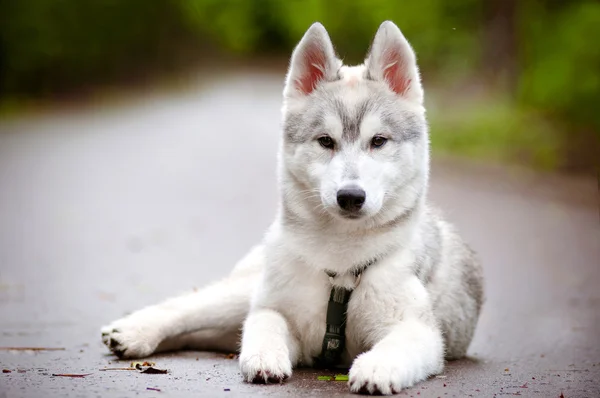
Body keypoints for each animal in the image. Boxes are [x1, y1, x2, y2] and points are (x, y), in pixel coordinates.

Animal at [99, 20, 482, 394]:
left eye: (378, 141)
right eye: (326, 141)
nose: (350, 196)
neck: (341, 260)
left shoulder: (419, 329)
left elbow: (397, 346)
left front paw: (377, 367)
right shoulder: (276, 309)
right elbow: (264, 325)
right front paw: (264, 357)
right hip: (245, 289)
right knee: (190, 307)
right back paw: (135, 331)